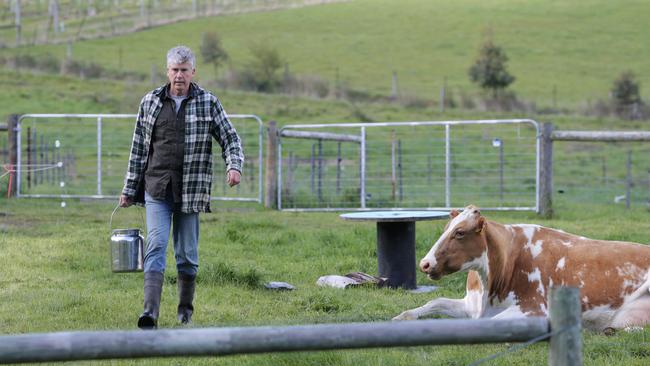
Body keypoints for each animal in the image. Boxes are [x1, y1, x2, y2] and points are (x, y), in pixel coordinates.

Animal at [390, 204, 648, 334]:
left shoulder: (536, 309)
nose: (424, 263)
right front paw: (400, 318)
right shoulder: (470, 305)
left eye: (460, 232)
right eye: (446, 228)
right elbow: (434, 302)